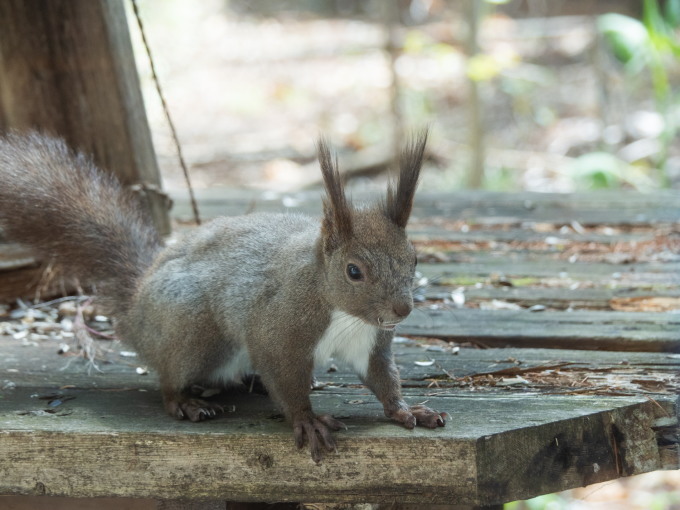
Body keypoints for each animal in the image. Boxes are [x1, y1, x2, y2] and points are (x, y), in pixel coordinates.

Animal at [0, 130, 446, 462]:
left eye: (414, 258)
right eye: (354, 271)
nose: (402, 309)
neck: (341, 312)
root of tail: (137, 310)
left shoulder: (370, 342)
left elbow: (383, 377)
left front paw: (406, 410)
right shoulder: (277, 332)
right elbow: (285, 381)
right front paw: (308, 420)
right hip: (193, 331)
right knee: (170, 378)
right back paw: (186, 401)